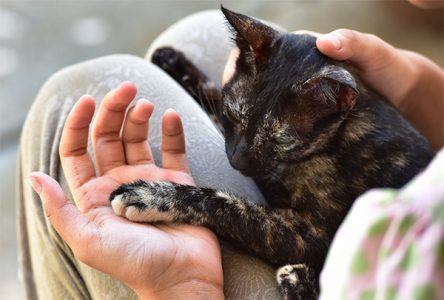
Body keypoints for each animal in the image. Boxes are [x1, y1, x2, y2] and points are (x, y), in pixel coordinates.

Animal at [109, 7, 436, 300]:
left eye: (280, 139)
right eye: (234, 114)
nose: (236, 161)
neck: (341, 136)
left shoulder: (313, 234)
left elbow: (228, 205)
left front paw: (152, 196)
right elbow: (212, 100)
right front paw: (172, 60)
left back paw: (299, 281)